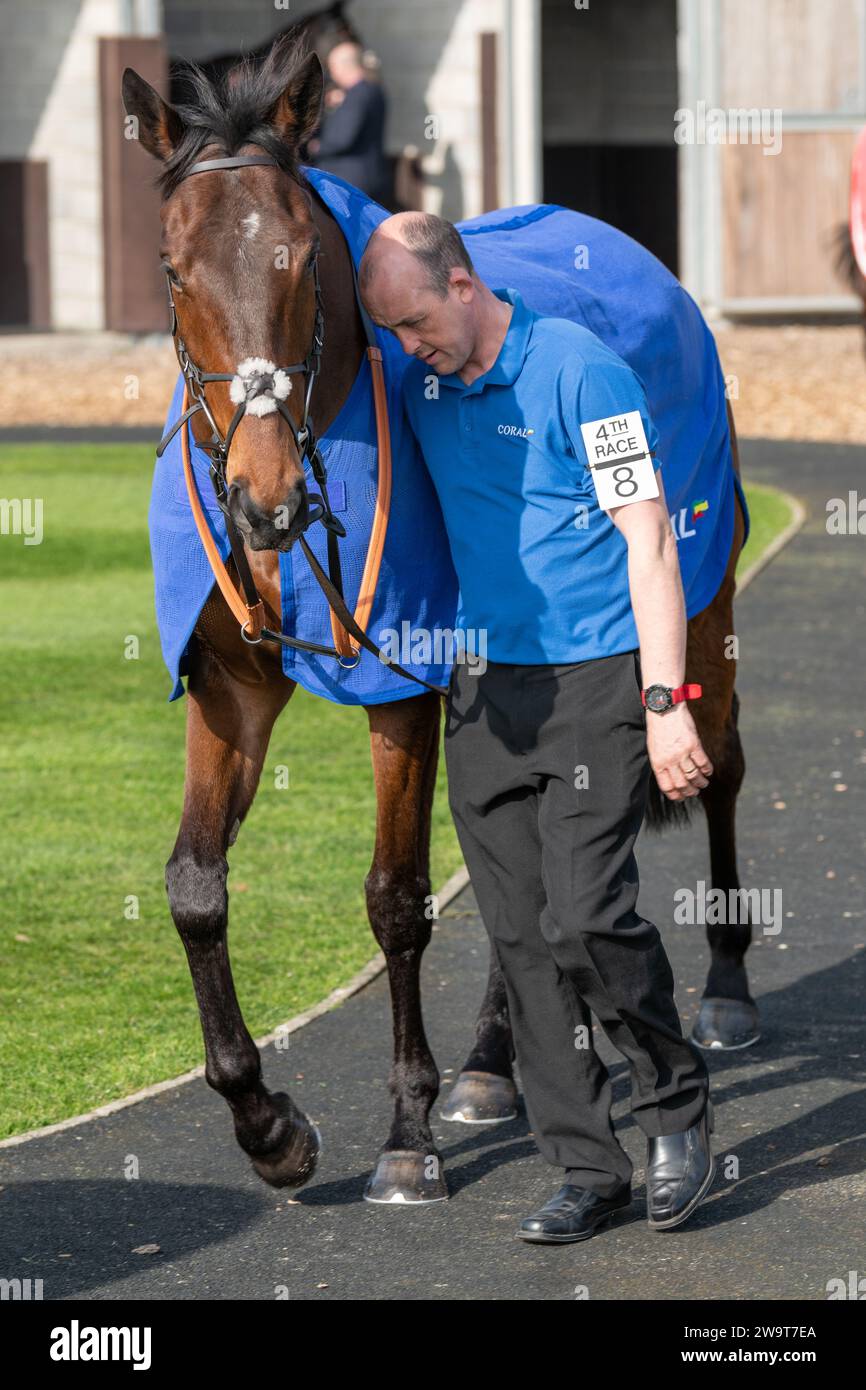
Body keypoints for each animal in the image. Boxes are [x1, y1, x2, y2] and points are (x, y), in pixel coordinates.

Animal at [123, 38, 756, 1200]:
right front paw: (265, 1122)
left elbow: (396, 896)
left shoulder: (405, 689)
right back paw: (495, 1061)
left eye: (298, 260)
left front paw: (407, 1134)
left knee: (717, 761)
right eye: (176, 268)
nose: (264, 498)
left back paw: (724, 989)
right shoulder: (233, 691)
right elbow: (194, 887)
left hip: (699, 598)